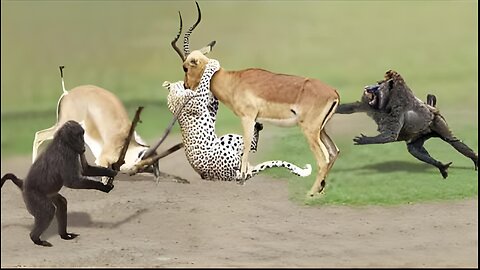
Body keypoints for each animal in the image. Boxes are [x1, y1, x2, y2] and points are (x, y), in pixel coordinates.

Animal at [171, 2, 340, 196]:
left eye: (185, 67)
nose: (186, 86)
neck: (233, 81)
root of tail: (333, 92)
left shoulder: (248, 118)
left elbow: (245, 147)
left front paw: (242, 179)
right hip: (321, 130)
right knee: (333, 152)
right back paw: (320, 192)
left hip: (310, 131)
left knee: (323, 159)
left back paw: (310, 194)